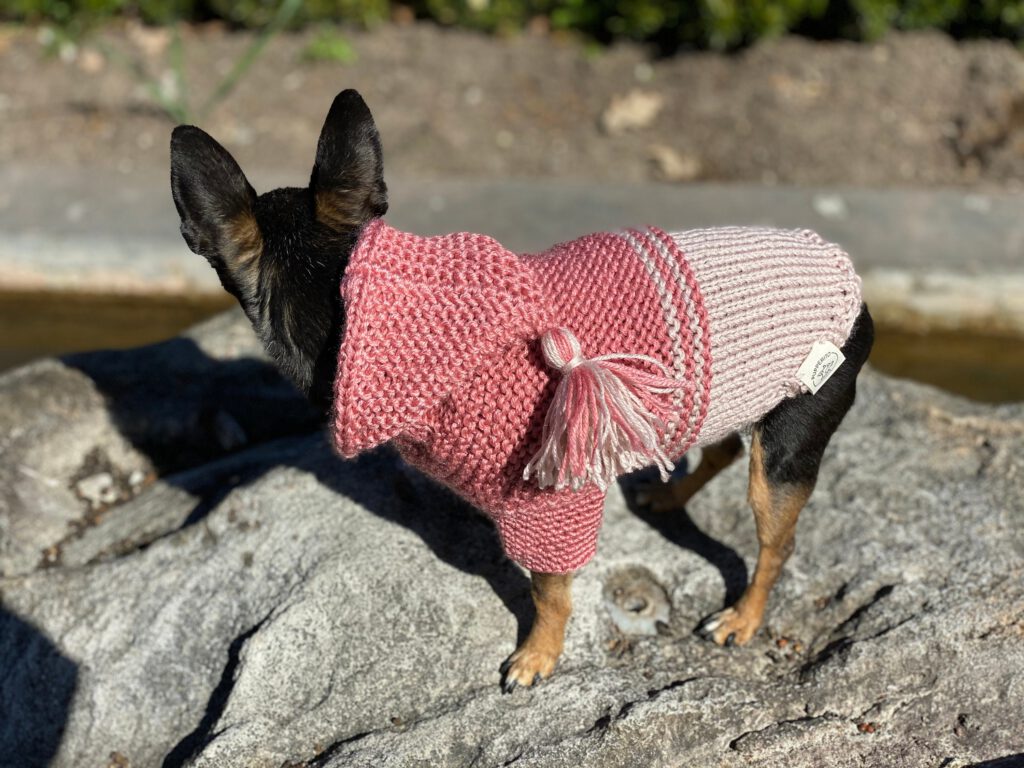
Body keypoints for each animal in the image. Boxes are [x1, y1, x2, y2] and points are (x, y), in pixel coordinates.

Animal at [170, 89, 874, 692]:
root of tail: (850, 280)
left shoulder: (552, 503)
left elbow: (548, 589)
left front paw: (539, 655)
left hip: (782, 455)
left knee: (776, 544)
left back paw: (744, 617)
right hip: (734, 395)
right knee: (721, 445)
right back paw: (670, 496)